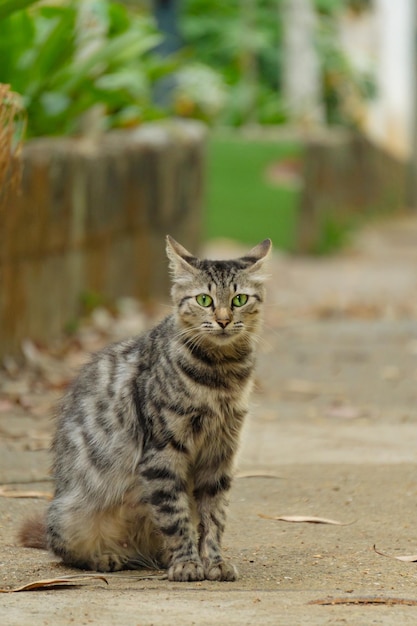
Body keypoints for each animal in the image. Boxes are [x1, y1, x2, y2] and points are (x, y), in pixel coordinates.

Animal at [21, 235, 272, 580]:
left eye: (239, 299)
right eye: (204, 300)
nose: (223, 320)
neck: (220, 375)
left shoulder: (220, 453)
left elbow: (213, 519)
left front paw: (214, 562)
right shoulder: (163, 450)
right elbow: (175, 517)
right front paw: (187, 564)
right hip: (70, 514)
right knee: (64, 551)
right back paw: (108, 557)